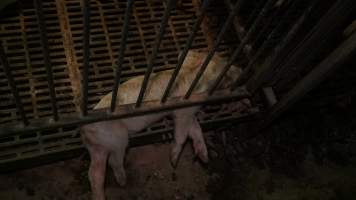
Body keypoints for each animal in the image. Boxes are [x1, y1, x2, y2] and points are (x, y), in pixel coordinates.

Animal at [80, 50, 245, 200]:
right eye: (224, 65)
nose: (240, 69)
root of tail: (85, 128)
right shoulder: (183, 112)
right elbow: (182, 134)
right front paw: (173, 161)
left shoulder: (188, 113)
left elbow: (196, 130)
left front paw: (204, 158)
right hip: (117, 138)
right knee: (113, 161)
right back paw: (123, 181)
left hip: (98, 145)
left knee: (94, 173)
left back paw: (102, 193)